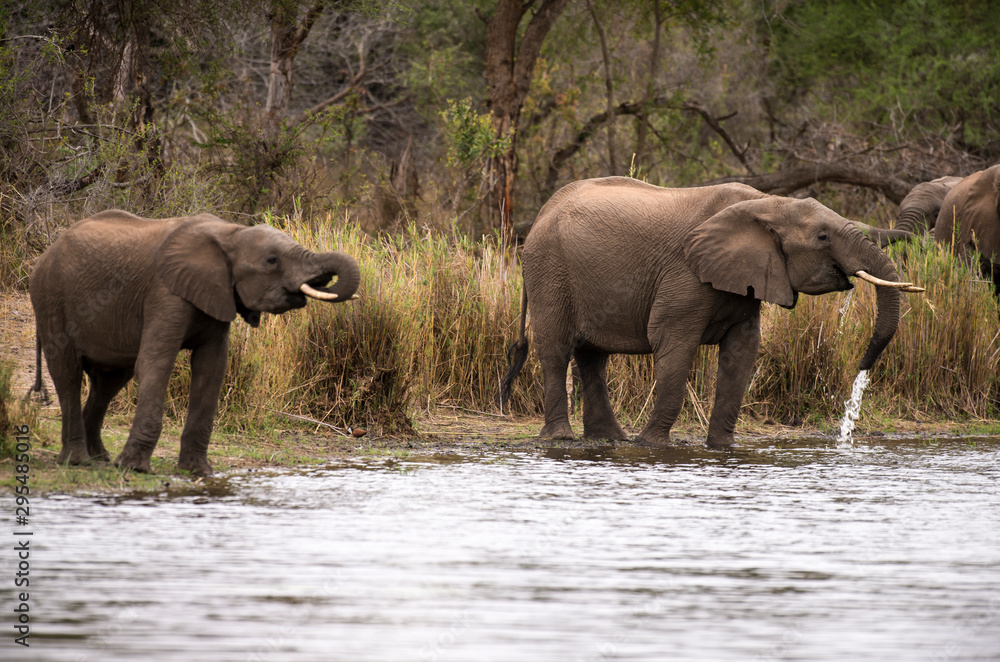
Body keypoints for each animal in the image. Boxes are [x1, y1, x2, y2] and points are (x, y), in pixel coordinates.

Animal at [28, 210, 360, 476]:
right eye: (272, 260)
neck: (230, 233)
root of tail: (44, 254)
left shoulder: (217, 294)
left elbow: (212, 369)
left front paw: (198, 471)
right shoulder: (165, 291)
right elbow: (156, 361)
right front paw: (135, 468)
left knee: (109, 382)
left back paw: (100, 458)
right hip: (50, 298)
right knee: (68, 374)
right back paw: (77, 461)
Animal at [500, 177, 920, 448]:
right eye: (822, 237)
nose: (862, 366)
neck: (766, 202)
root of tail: (541, 214)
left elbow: (743, 352)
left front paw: (722, 448)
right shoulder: (685, 272)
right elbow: (673, 344)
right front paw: (652, 446)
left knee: (593, 356)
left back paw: (610, 439)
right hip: (548, 270)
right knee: (556, 349)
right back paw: (562, 438)